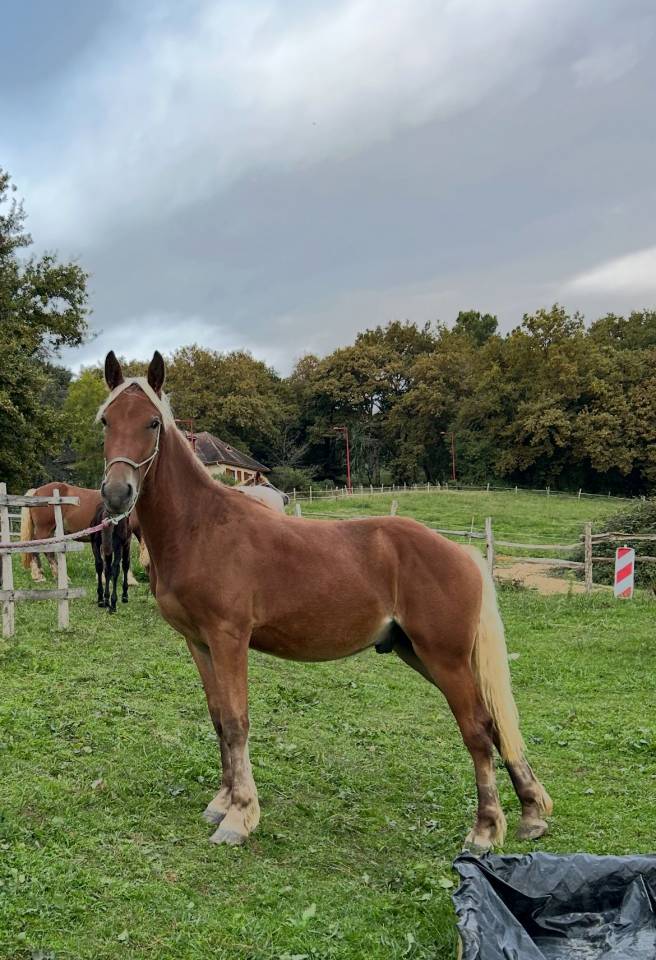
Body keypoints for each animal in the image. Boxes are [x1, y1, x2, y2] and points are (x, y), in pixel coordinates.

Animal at [98, 350, 552, 851]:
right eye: (106, 421)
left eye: (153, 422)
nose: (116, 494)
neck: (202, 527)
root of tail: (462, 554)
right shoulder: (199, 643)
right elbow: (218, 718)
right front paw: (222, 801)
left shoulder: (229, 639)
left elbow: (237, 722)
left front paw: (239, 816)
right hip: (420, 654)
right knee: (495, 725)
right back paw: (531, 813)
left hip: (445, 659)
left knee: (476, 730)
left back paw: (486, 828)